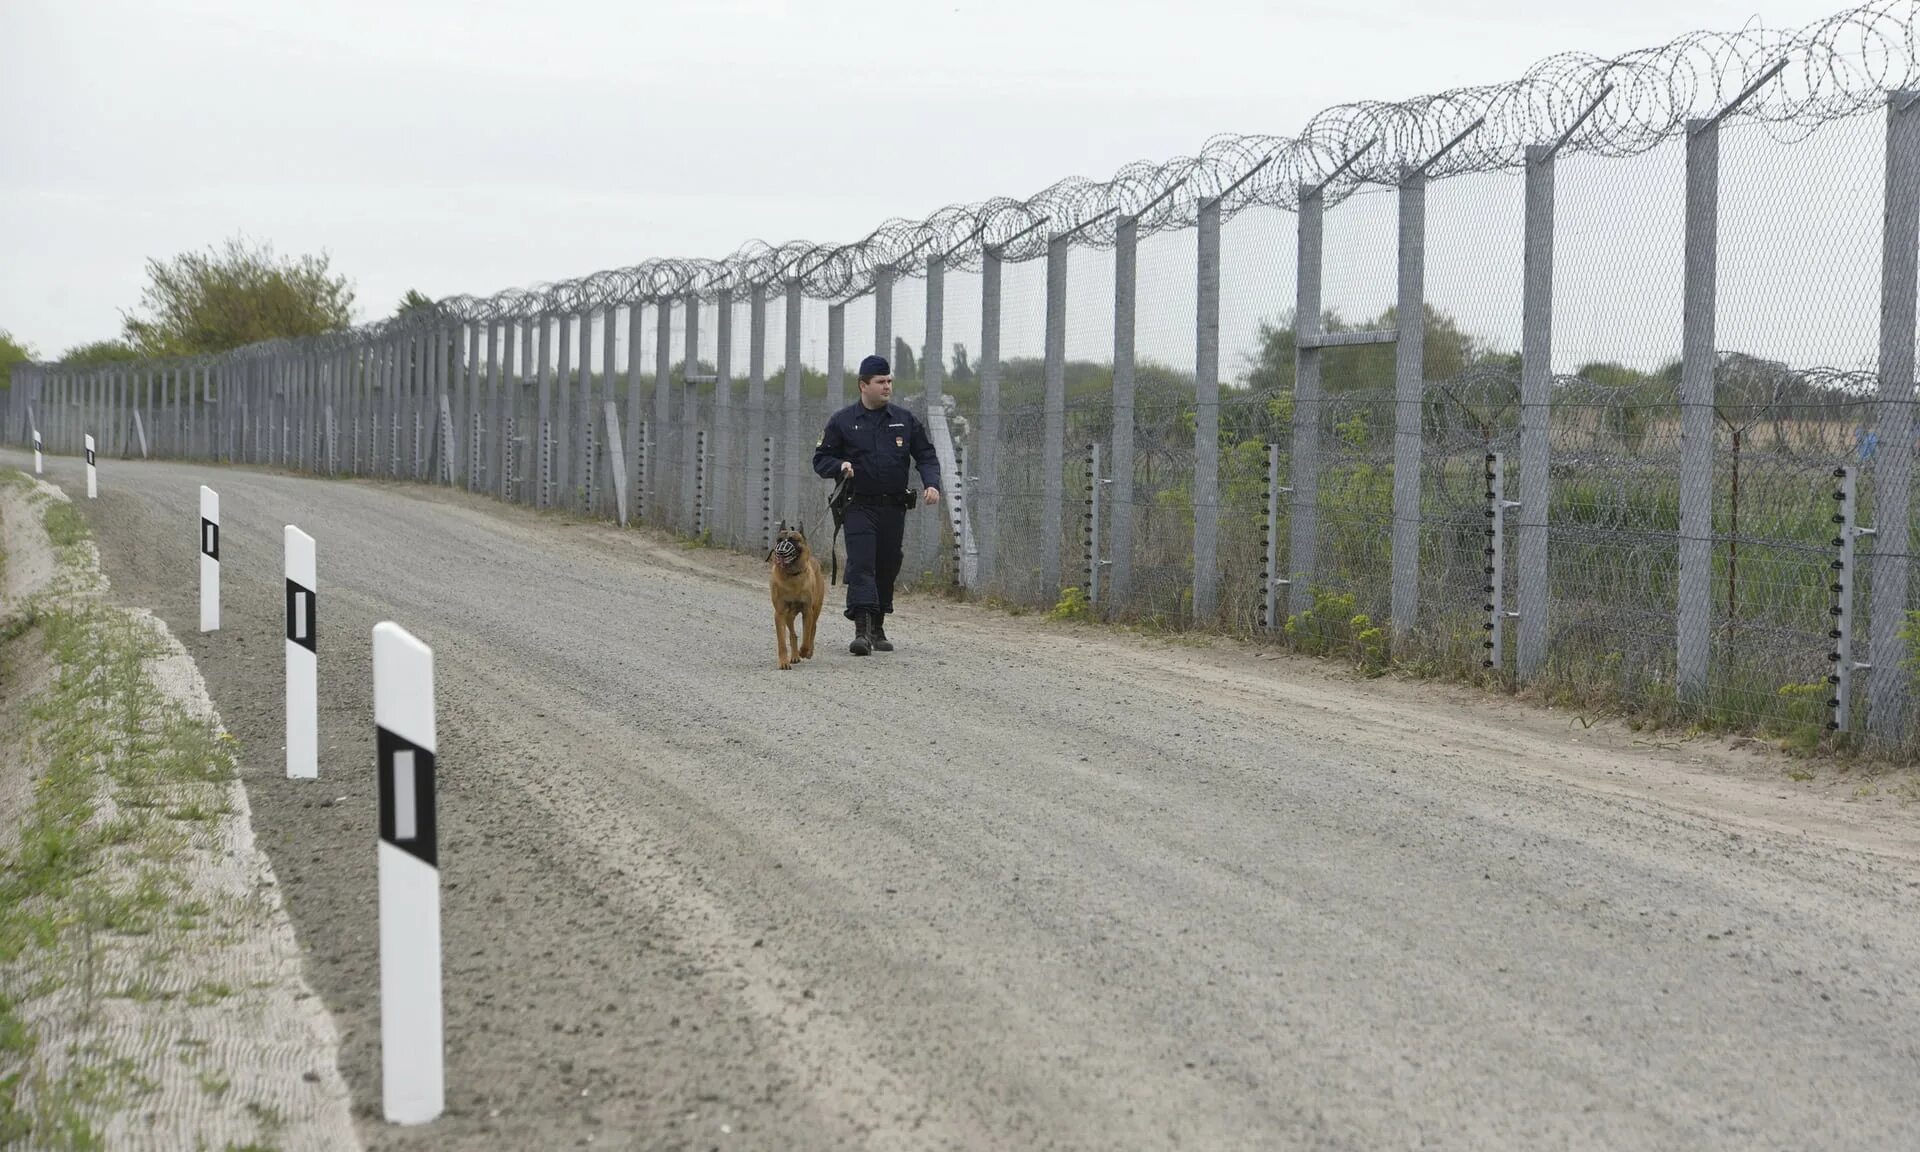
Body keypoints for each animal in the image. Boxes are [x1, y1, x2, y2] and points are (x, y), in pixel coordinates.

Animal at [764, 518, 825, 672]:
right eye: (779, 540)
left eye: (793, 540)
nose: (780, 551)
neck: (792, 575)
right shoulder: (779, 613)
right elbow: (782, 641)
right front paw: (784, 661)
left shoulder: (807, 611)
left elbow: (806, 635)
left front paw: (804, 651)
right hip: (788, 616)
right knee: (793, 634)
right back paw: (795, 655)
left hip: (816, 609)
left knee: (813, 629)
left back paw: (808, 652)